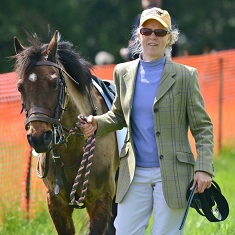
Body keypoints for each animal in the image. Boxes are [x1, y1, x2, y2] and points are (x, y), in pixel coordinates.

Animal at [12, 30, 119, 234]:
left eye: (54, 83)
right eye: (20, 87)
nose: (39, 137)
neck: (74, 147)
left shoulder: (101, 200)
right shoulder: (57, 204)